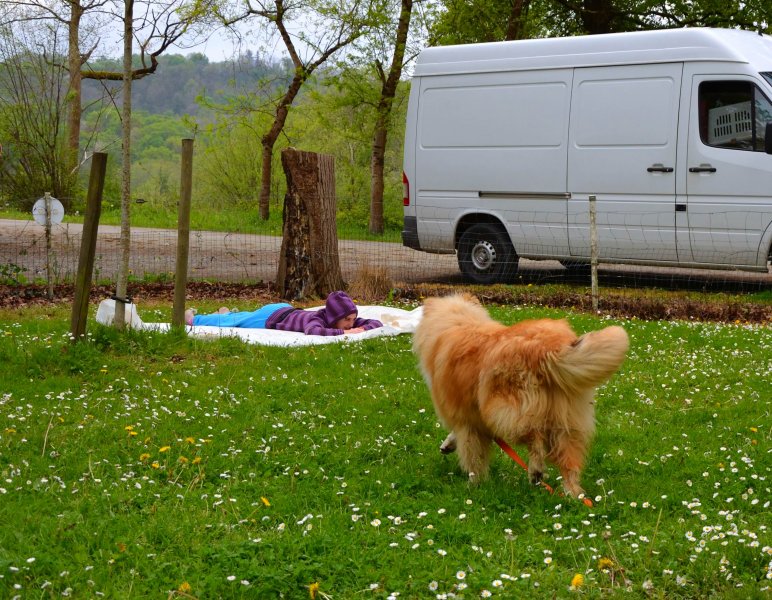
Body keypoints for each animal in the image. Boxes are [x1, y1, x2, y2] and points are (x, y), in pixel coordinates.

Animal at [413, 294, 629, 498]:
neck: (459, 321)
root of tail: (547, 348)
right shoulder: (472, 419)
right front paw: (448, 445)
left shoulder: (466, 421)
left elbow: (473, 457)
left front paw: (474, 484)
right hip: (568, 418)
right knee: (569, 462)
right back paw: (572, 494)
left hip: (503, 412)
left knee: (535, 437)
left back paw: (536, 471)